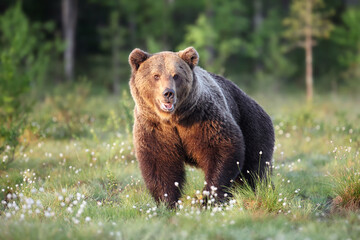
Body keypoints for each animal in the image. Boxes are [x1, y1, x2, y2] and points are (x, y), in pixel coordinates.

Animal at [128, 47, 274, 208]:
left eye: (176, 75)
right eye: (156, 76)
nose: (168, 93)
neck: (173, 119)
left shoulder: (202, 119)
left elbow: (221, 149)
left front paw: (209, 198)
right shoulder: (155, 128)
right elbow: (160, 162)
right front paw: (167, 202)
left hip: (251, 122)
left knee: (254, 167)